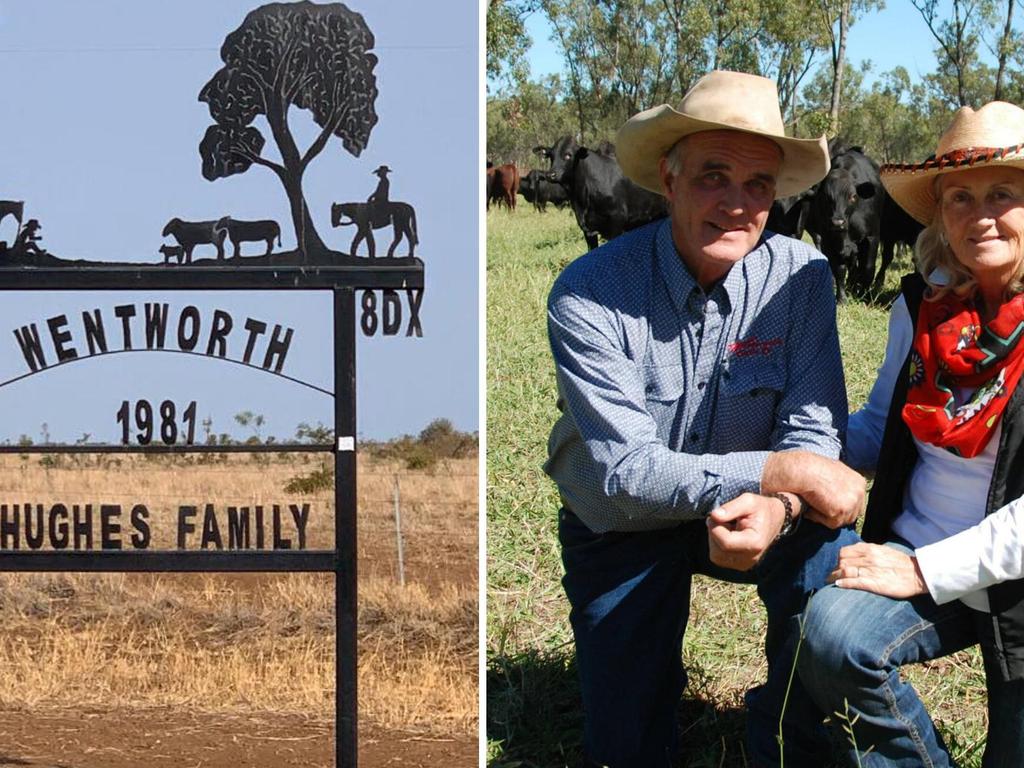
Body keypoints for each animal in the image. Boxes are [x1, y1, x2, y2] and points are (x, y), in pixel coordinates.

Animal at [811, 148, 884, 305]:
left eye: (853, 196)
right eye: (826, 197)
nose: (837, 222)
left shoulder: (872, 237)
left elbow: (868, 268)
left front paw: (864, 296)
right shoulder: (829, 242)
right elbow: (839, 269)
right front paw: (842, 298)